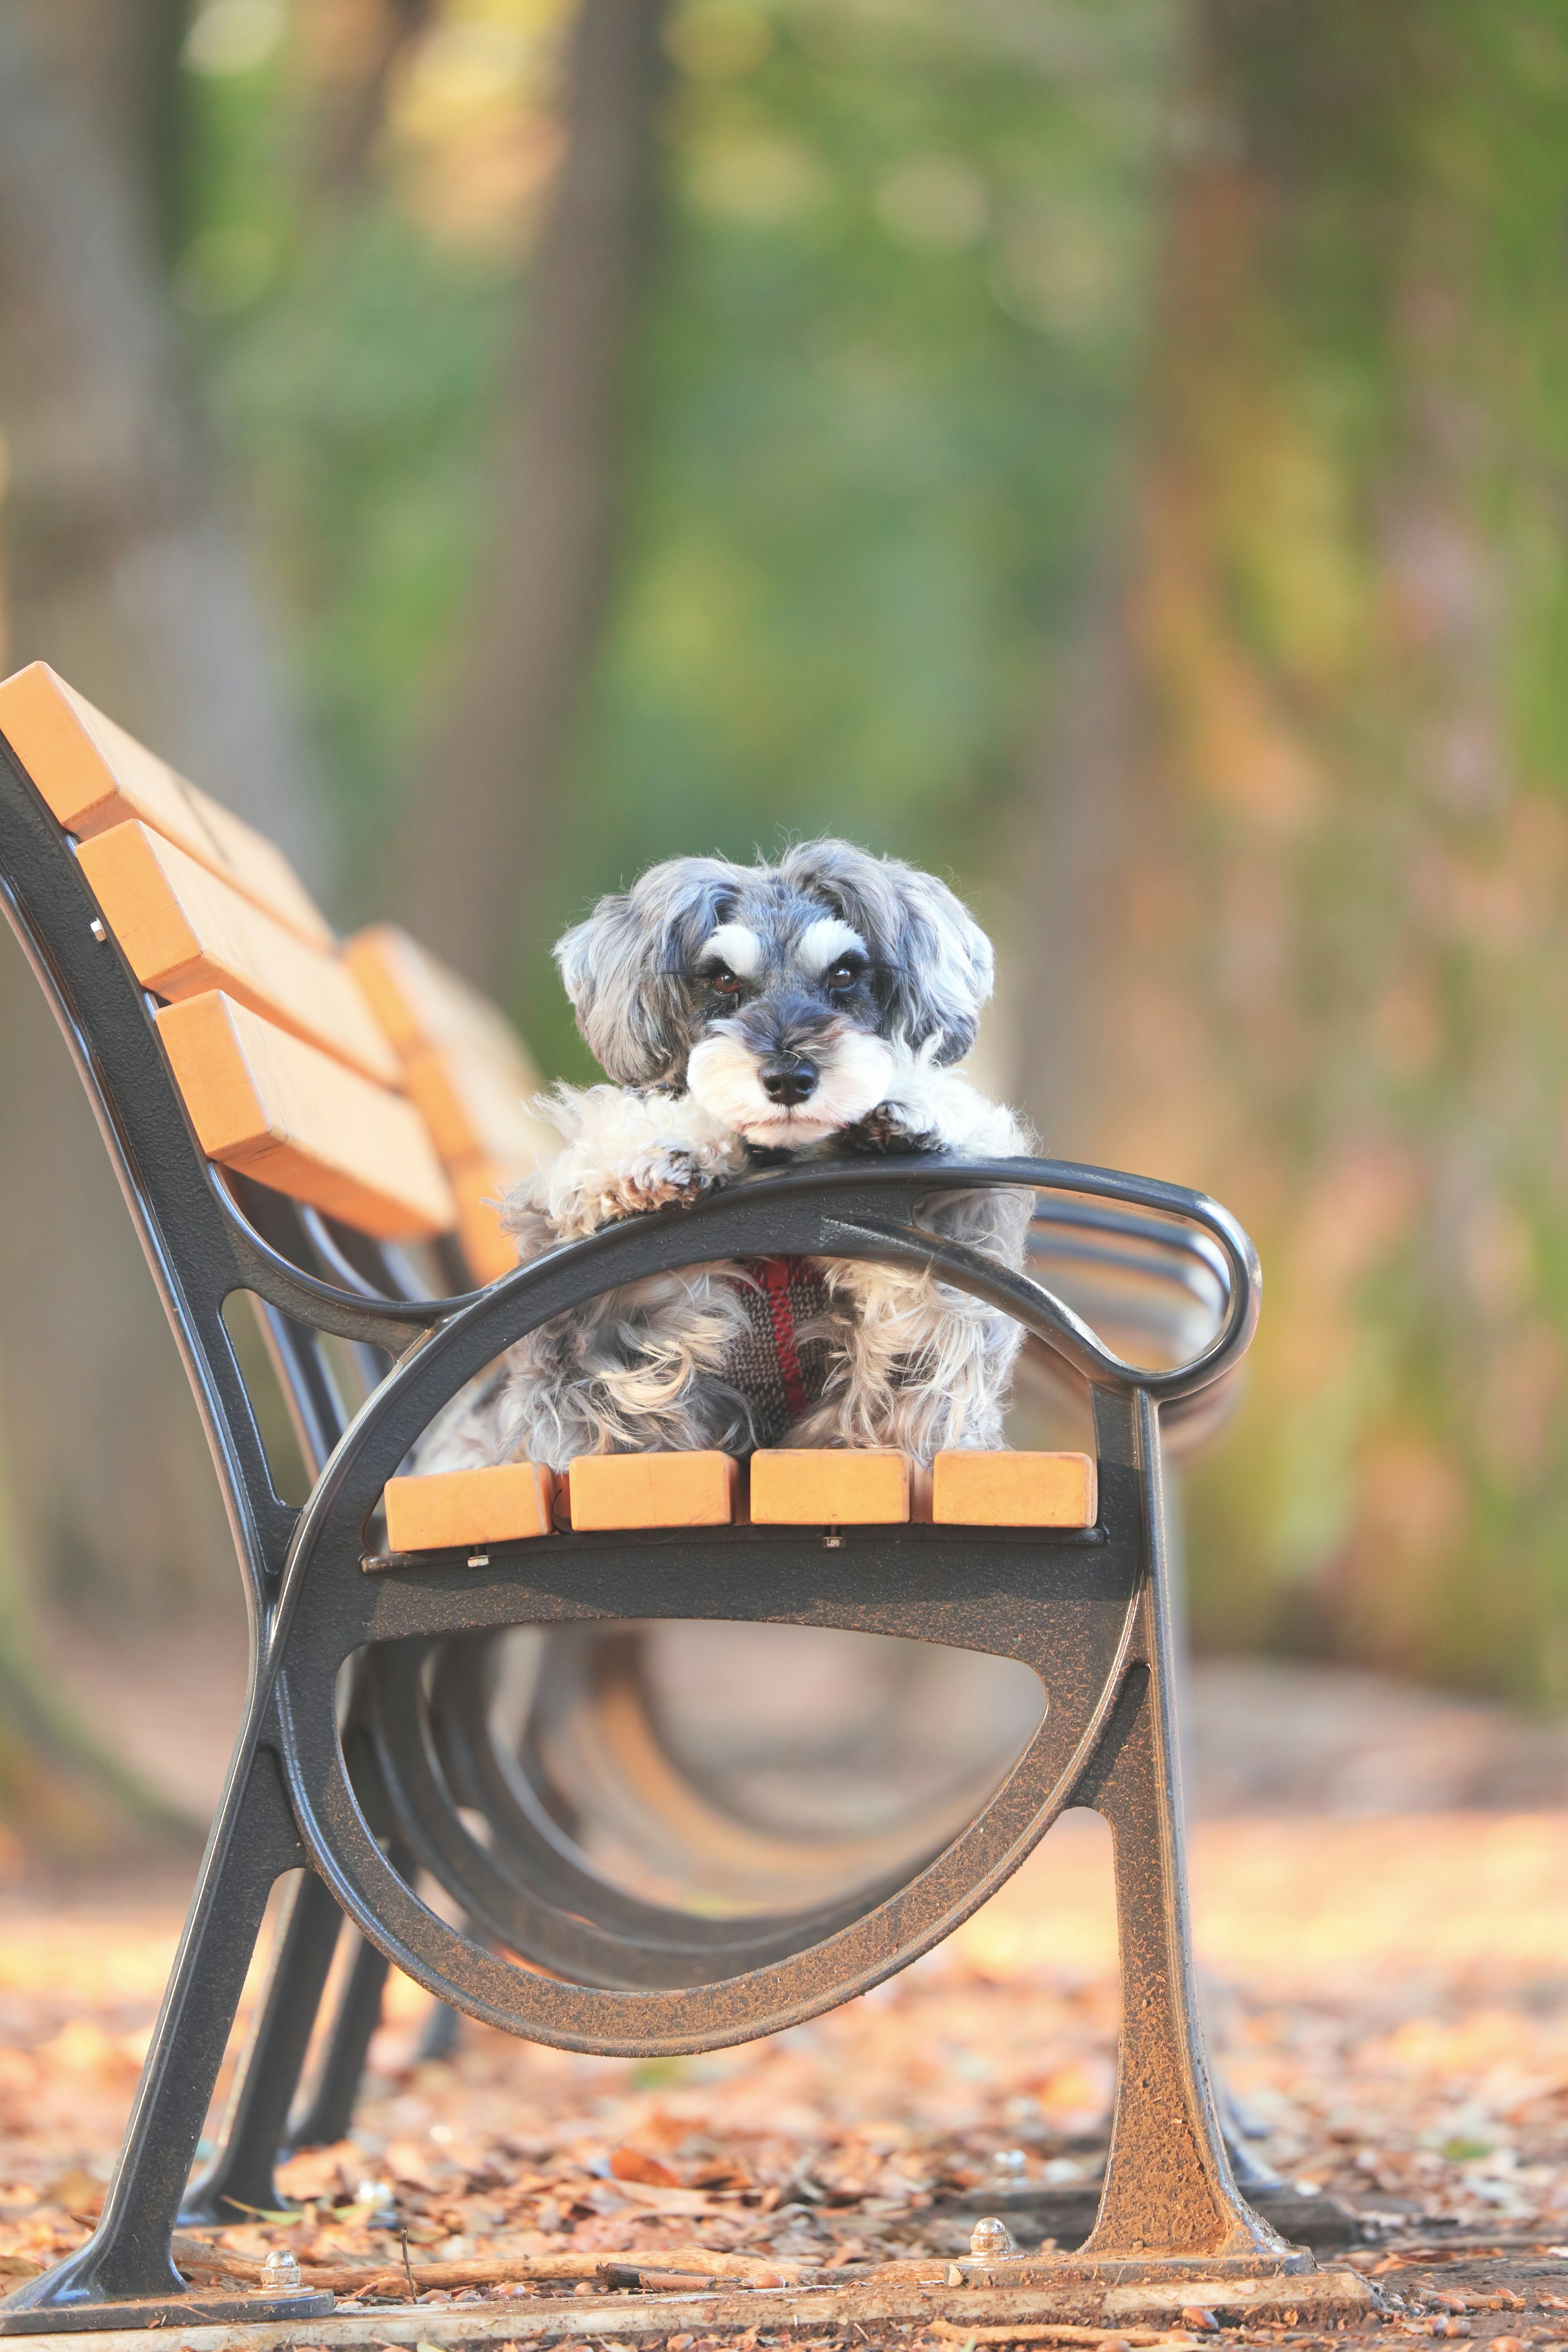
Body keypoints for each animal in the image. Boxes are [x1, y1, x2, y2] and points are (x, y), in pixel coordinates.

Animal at [411, 842, 1034, 1468]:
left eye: (844, 973)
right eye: (724, 979)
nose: (789, 1079)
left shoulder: (926, 1335)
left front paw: (913, 1106)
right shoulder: (600, 1342)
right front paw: (657, 1149)